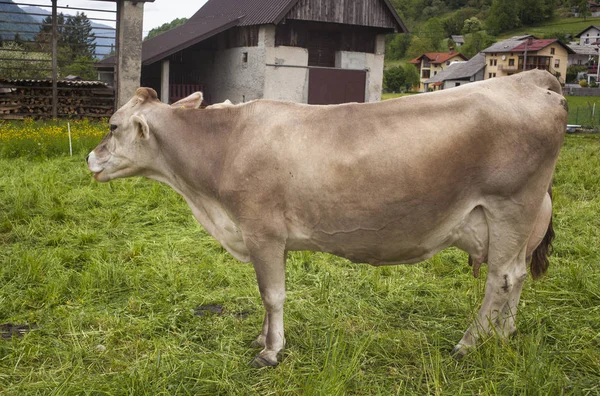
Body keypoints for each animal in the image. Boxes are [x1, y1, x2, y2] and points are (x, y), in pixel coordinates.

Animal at [86, 69, 564, 366]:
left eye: (112, 126)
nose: (90, 158)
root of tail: (531, 80)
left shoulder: (262, 231)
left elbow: (272, 295)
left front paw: (270, 352)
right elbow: (267, 296)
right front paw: (262, 338)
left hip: (509, 206)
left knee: (501, 279)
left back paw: (468, 344)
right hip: (517, 222)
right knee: (517, 277)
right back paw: (503, 336)